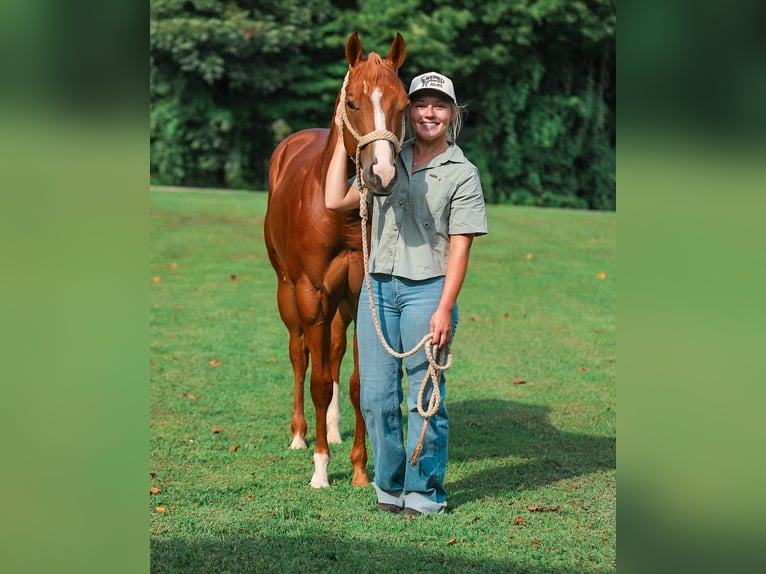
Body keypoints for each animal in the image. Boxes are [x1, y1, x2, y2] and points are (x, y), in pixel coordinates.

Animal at [264, 32, 408, 488]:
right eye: (352, 102)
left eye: (404, 104)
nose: (381, 174)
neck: (341, 213)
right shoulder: (312, 297)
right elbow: (320, 382)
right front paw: (321, 469)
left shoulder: (361, 297)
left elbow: (359, 382)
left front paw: (361, 469)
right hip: (289, 294)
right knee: (300, 356)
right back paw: (300, 435)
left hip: (340, 307)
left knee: (334, 351)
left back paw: (332, 428)